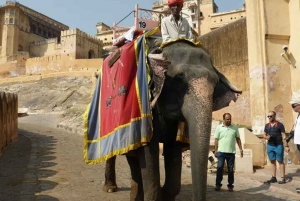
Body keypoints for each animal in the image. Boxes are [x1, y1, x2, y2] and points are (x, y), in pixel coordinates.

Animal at [84, 31, 241, 201]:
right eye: (179, 79)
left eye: (215, 83)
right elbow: (148, 151)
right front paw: (156, 193)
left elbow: (173, 151)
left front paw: (164, 194)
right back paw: (110, 188)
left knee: (133, 157)